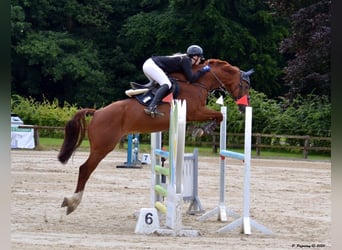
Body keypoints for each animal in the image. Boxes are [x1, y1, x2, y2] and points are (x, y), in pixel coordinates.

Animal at [57, 58, 252, 215]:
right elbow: (219, 115)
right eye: (245, 85)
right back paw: (72, 202)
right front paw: (202, 130)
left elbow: (218, 116)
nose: (244, 107)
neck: (197, 83)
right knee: (85, 169)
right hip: (103, 146)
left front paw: (200, 129)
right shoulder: (195, 111)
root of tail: (97, 113)